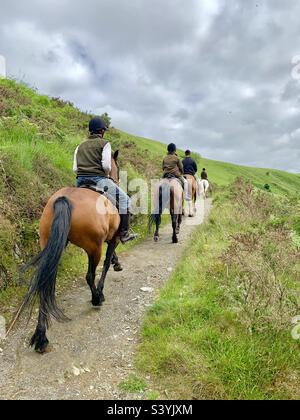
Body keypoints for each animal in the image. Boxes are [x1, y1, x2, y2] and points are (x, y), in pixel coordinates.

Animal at [20, 151, 122, 352]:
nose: (118, 178)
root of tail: (64, 198)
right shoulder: (112, 240)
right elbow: (106, 264)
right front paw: (103, 288)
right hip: (94, 248)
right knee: (89, 275)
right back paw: (96, 298)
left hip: (50, 244)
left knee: (46, 280)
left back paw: (41, 335)